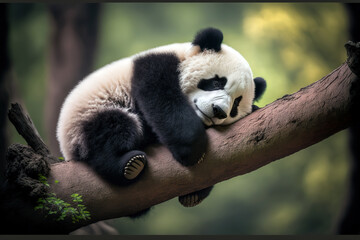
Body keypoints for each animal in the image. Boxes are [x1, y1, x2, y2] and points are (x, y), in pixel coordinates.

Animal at [55, 27, 264, 209]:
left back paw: (194, 195)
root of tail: (67, 150)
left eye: (236, 105)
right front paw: (192, 149)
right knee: (114, 130)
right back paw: (128, 165)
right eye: (216, 82)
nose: (219, 110)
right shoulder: (155, 66)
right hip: (89, 115)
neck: (181, 54)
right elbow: (163, 100)